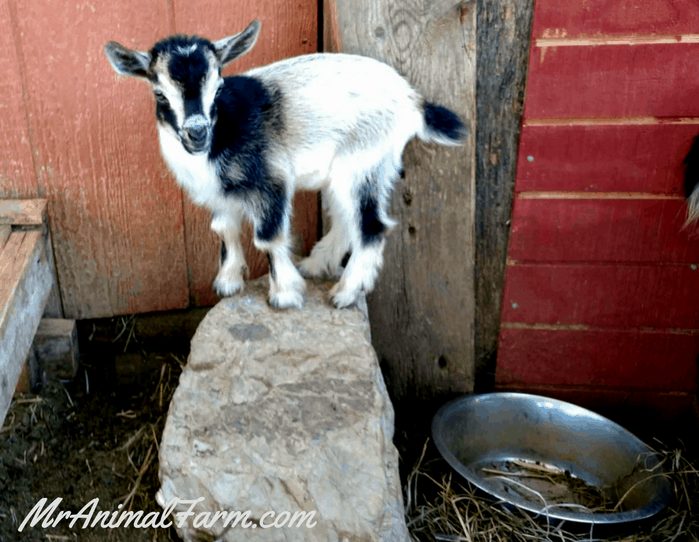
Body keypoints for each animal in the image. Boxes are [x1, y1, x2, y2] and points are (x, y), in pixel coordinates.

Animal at [104, 20, 468, 310]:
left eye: (218, 87)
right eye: (159, 94)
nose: (197, 133)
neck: (221, 135)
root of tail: (412, 100)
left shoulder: (271, 182)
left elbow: (267, 237)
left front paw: (285, 295)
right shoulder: (221, 194)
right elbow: (224, 229)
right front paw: (228, 283)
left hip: (362, 163)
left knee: (371, 226)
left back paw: (345, 293)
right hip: (350, 172)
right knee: (346, 218)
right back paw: (316, 265)